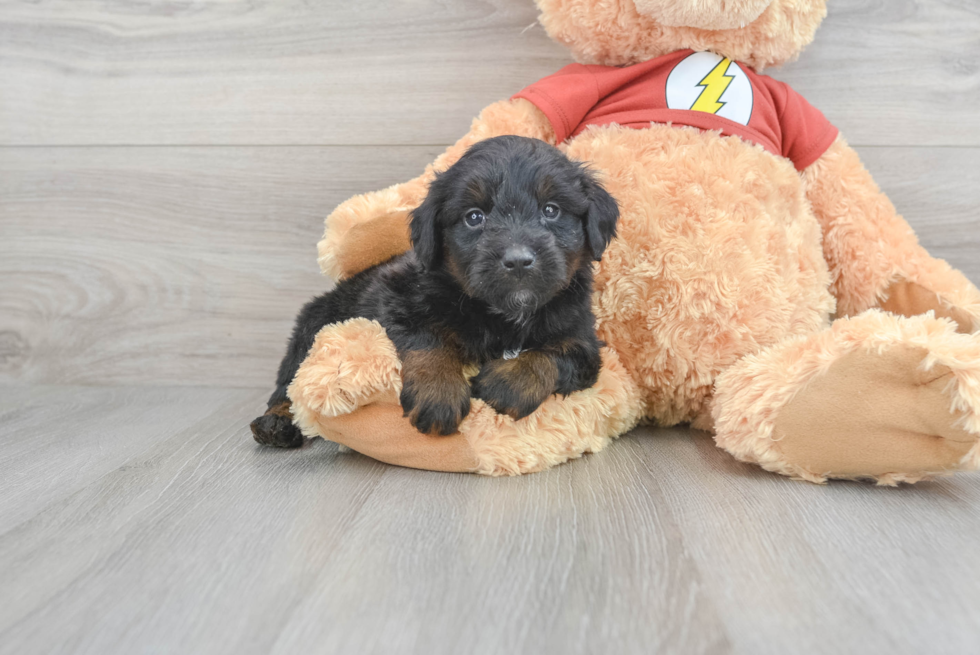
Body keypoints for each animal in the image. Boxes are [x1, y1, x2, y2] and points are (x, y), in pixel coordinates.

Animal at [253, 136, 620, 448]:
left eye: (551, 210)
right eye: (474, 217)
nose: (517, 261)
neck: (502, 313)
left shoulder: (581, 334)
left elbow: (556, 355)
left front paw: (510, 382)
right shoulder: (397, 297)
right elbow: (428, 340)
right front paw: (439, 391)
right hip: (311, 326)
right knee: (287, 383)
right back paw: (274, 423)